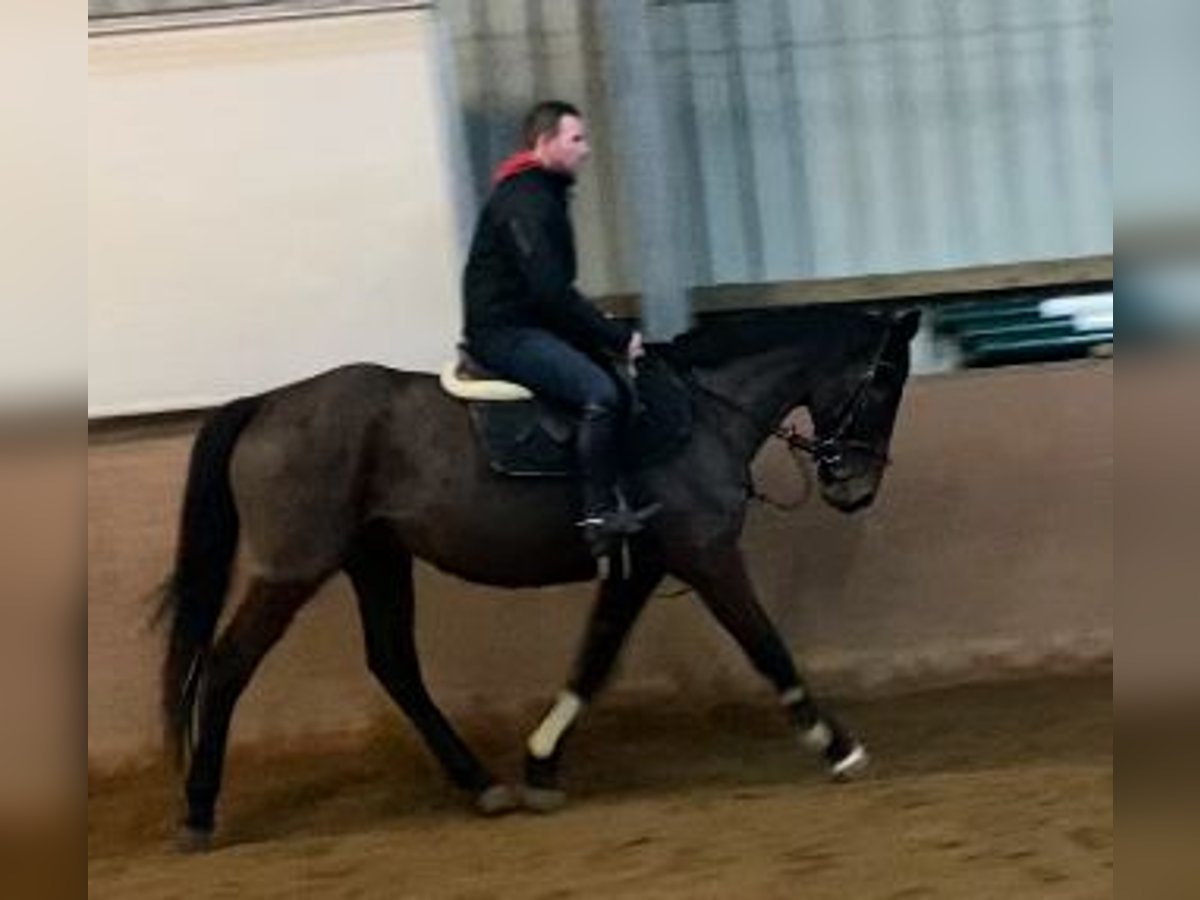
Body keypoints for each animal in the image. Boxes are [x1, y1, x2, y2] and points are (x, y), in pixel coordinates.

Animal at [159, 307, 921, 849]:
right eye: (885, 381)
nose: (855, 489)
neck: (705, 410)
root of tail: (267, 402)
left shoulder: (641, 565)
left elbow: (596, 658)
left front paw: (542, 762)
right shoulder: (705, 555)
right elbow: (766, 647)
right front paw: (839, 747)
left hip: (375, 559)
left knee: (395, 665)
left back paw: (481, 784)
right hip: (294, 569)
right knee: (227, 667)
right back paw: (197, 812)